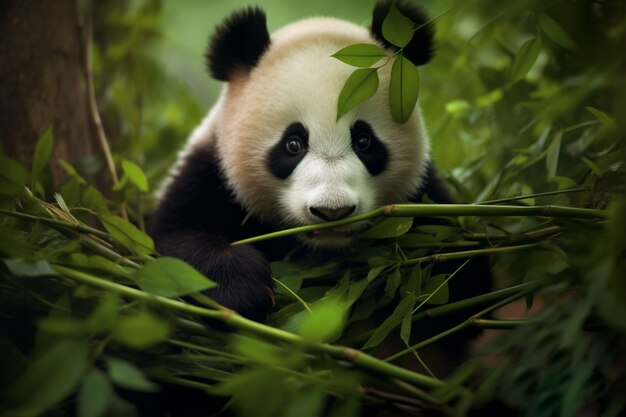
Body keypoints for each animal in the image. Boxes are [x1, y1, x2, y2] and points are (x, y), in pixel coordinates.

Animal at [149, 0, 490, 350]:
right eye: (293, 144)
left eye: (364, 141)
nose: (332, 211)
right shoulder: (210, 177)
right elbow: (175, 242)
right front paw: (243, 291)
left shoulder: (421, 196)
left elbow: (459, 279)